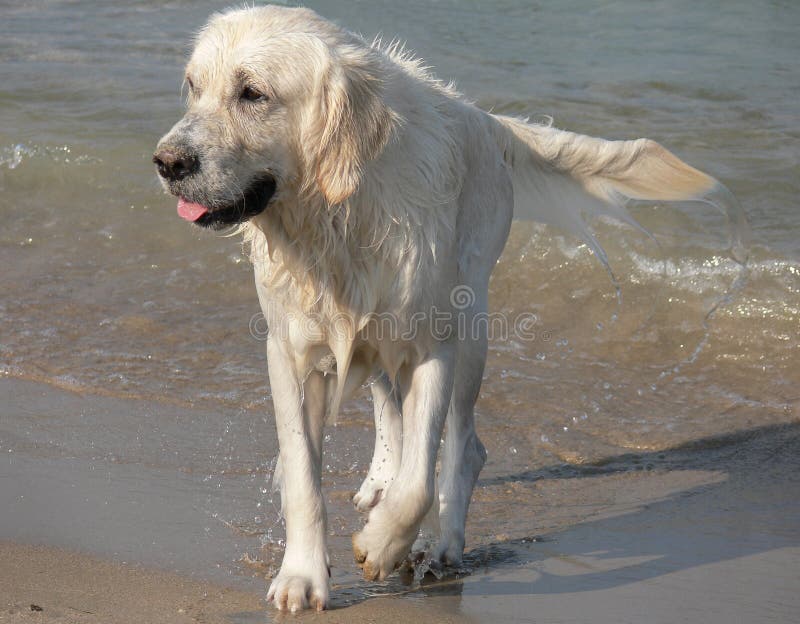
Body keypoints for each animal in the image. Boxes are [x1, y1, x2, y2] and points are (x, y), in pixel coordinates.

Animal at [153, 3, 748, 608]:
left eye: (252, 93)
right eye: (193, 87)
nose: (166, 162)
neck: (341, 215)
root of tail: (486, 119)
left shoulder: (433, 342)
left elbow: (421, 480)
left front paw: (382, 546)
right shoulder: (291, 349)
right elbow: (303, 473)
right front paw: (301, 576)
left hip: (472, 324)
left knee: (464, 445)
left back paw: (441, 546)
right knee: (391, 409)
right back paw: (381, 482)